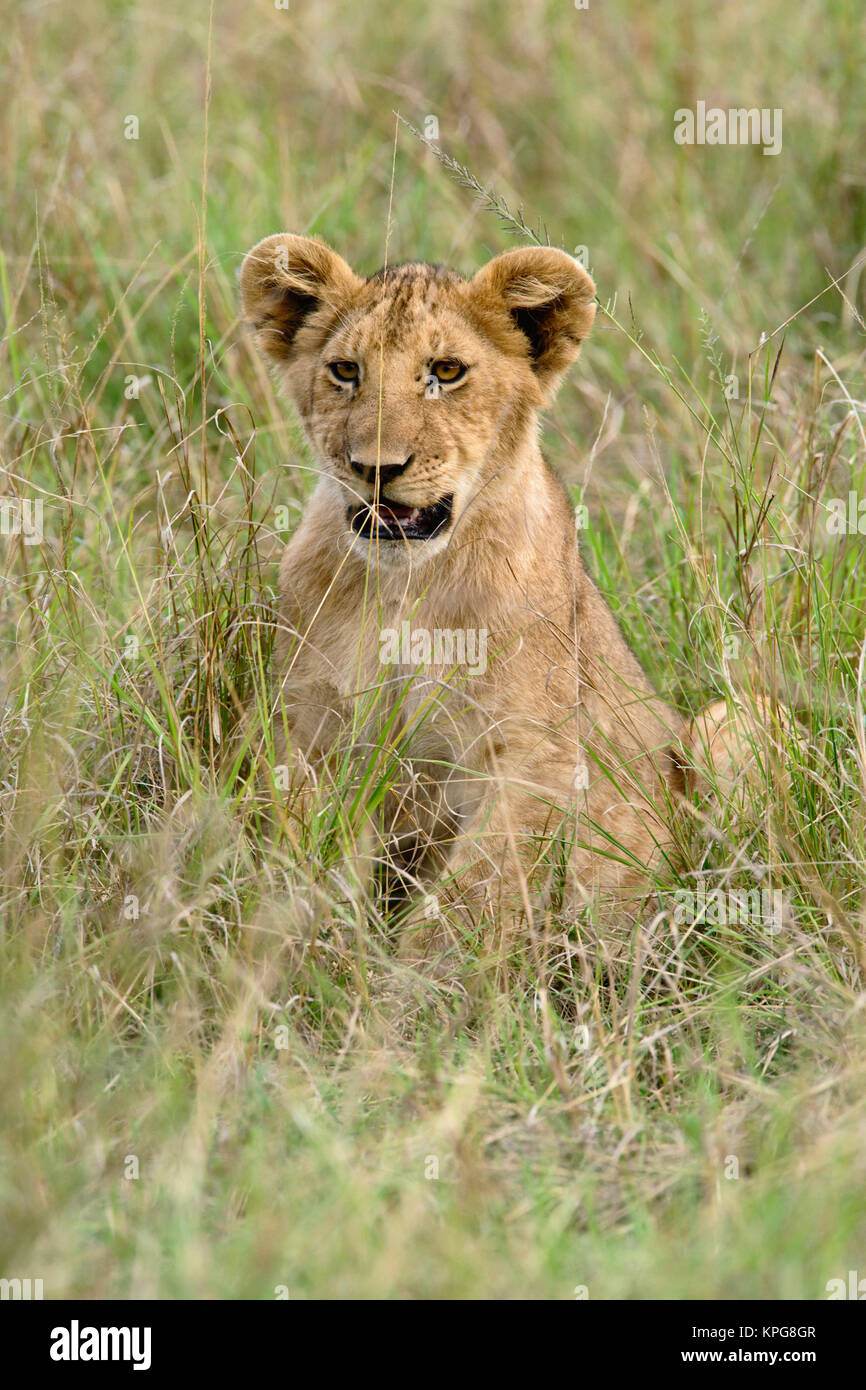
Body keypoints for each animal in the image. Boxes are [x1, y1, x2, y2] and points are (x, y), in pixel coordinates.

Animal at [239, 232, 771, 960]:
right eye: (346, 371)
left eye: (447, 370)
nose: (375, 468)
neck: (405, 585)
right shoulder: (310, 729)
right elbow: (298, 861)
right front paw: (294, 952)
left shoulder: (531, 758)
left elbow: (469, 903)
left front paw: (412, 985)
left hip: (733, 721)